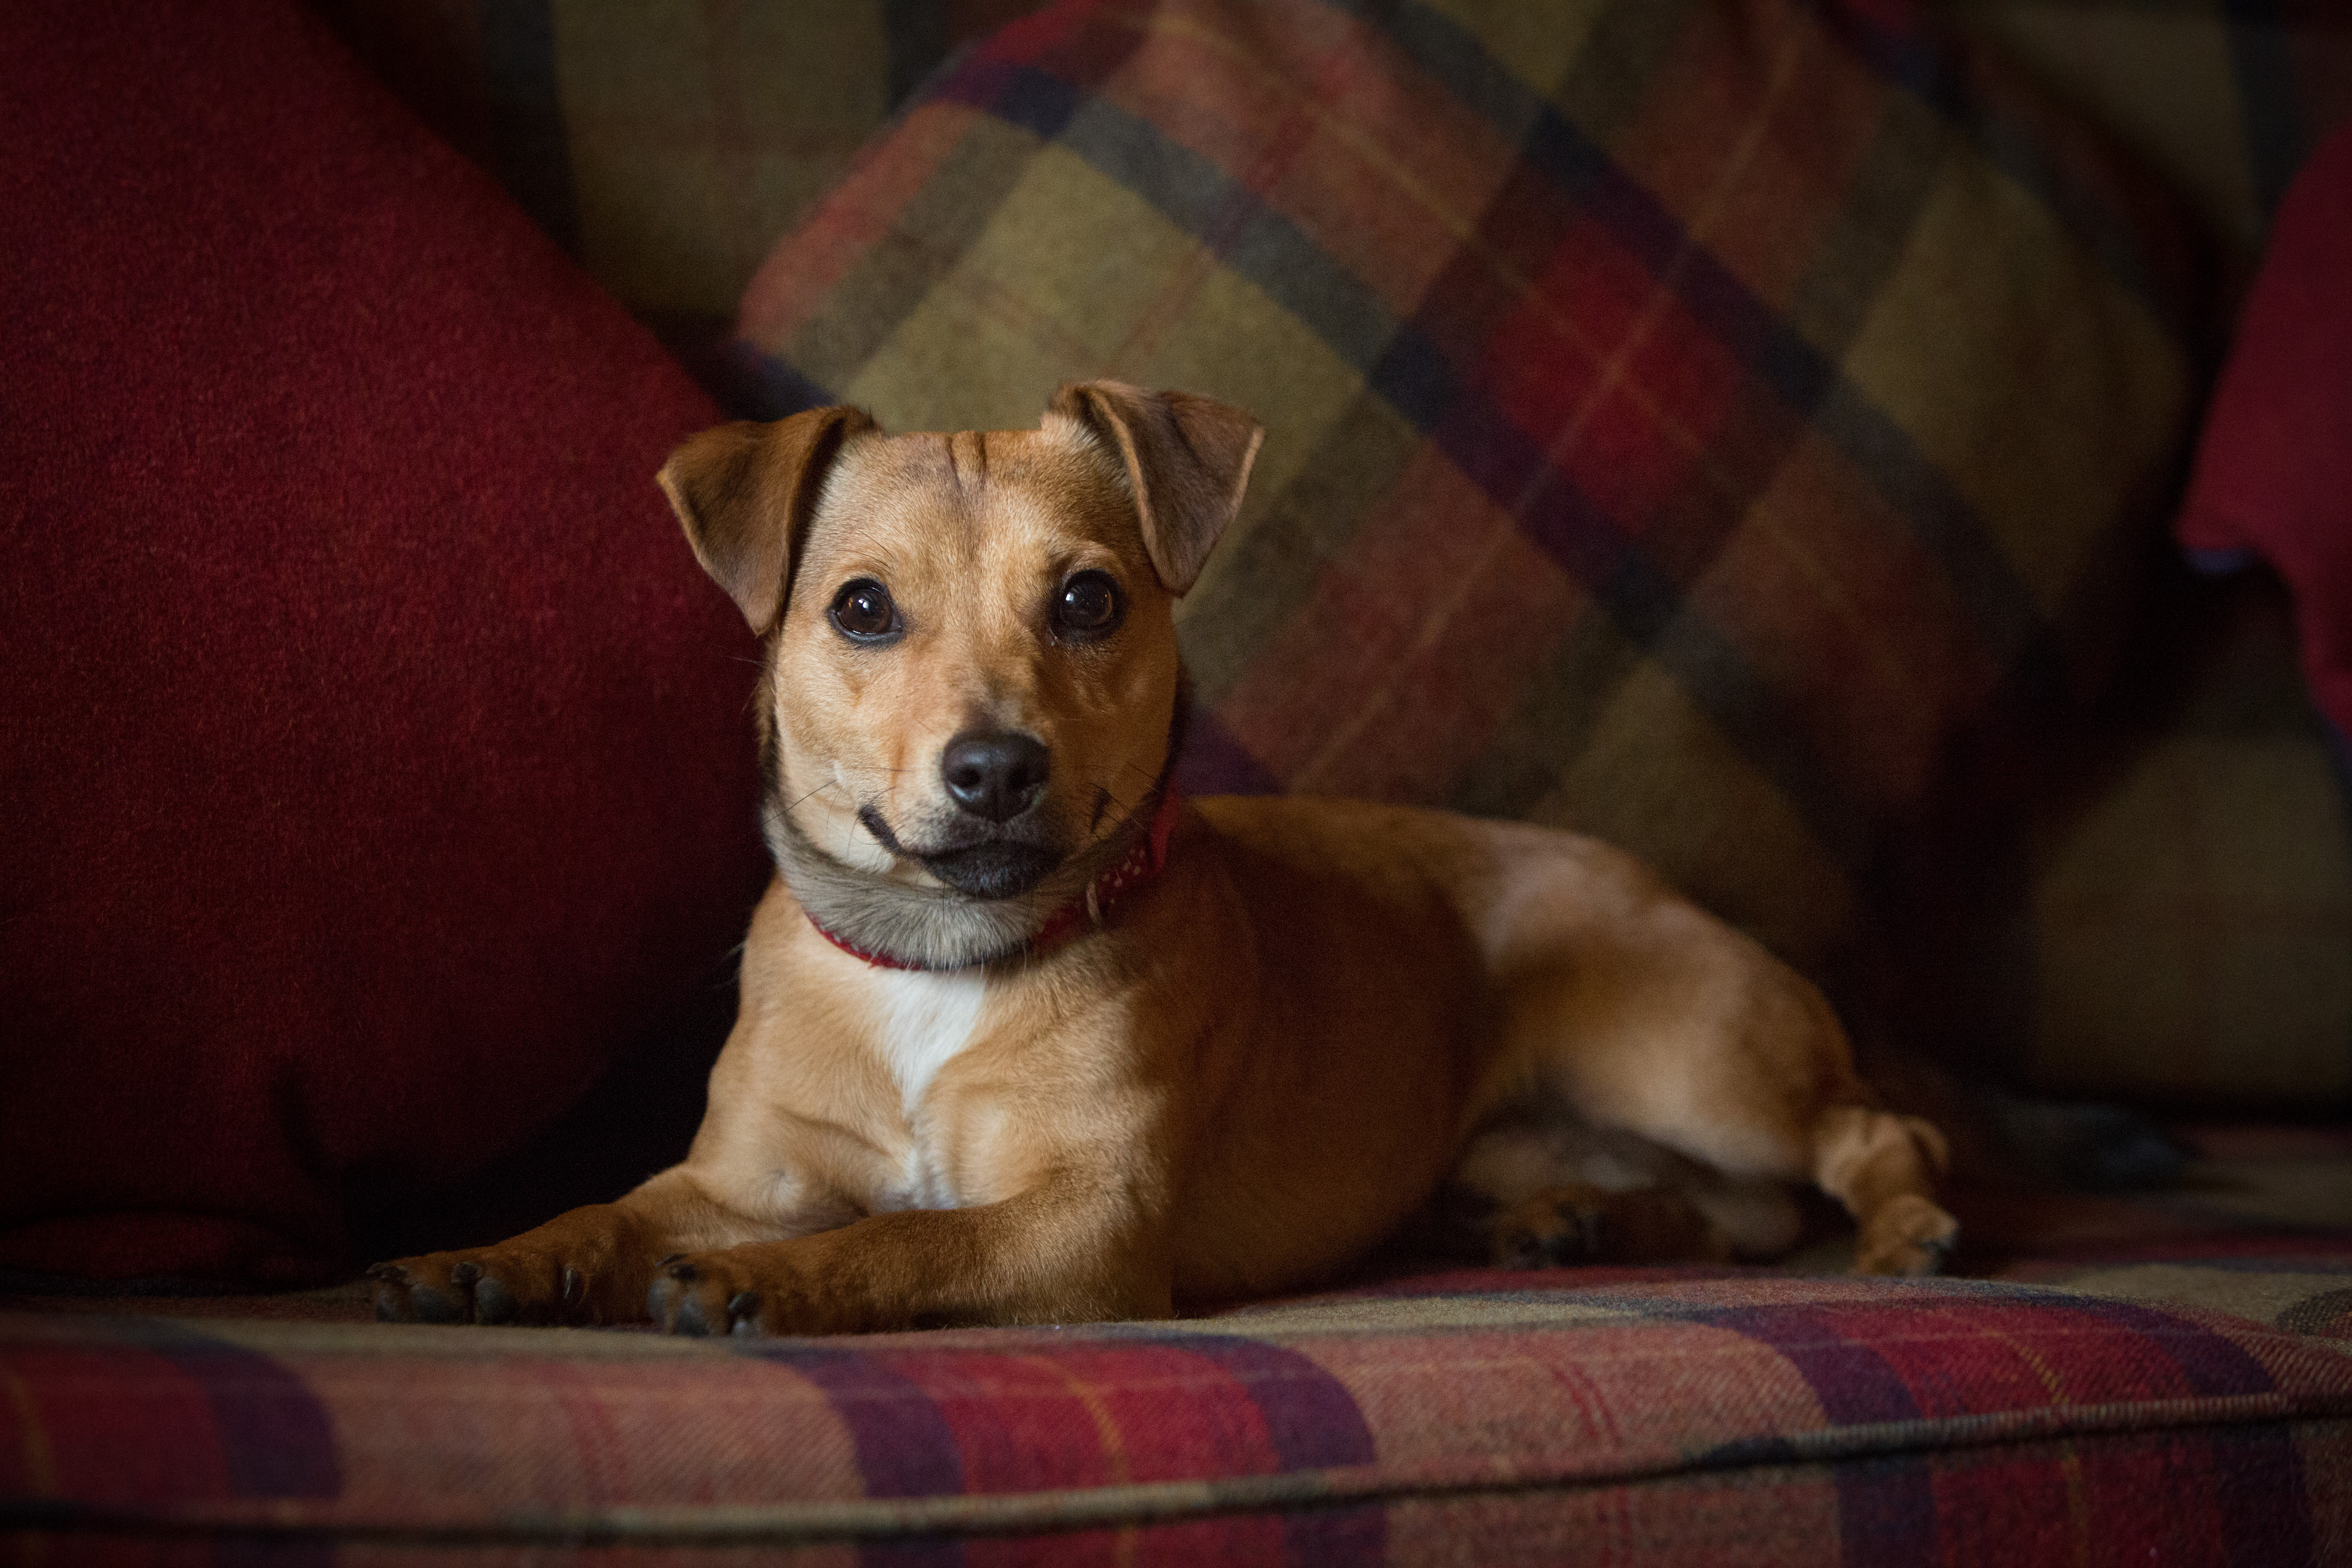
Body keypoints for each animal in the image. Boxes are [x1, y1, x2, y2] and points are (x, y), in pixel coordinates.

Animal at [367, 381, 1957, 1335]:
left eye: (1087, 600)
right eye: (863, 608)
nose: (996, 769)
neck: (941, 967)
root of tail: (1649, 879)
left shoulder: (1083, 1228)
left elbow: (911, 1242)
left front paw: (781, 1282)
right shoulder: (741, 1175)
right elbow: (610, 1212)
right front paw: (485, 1259)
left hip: (1686, 1056)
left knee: (1871, 1137)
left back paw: (1909, 1234)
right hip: (1545, 1133)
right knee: (1743, 1216)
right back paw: (1581, 1222)